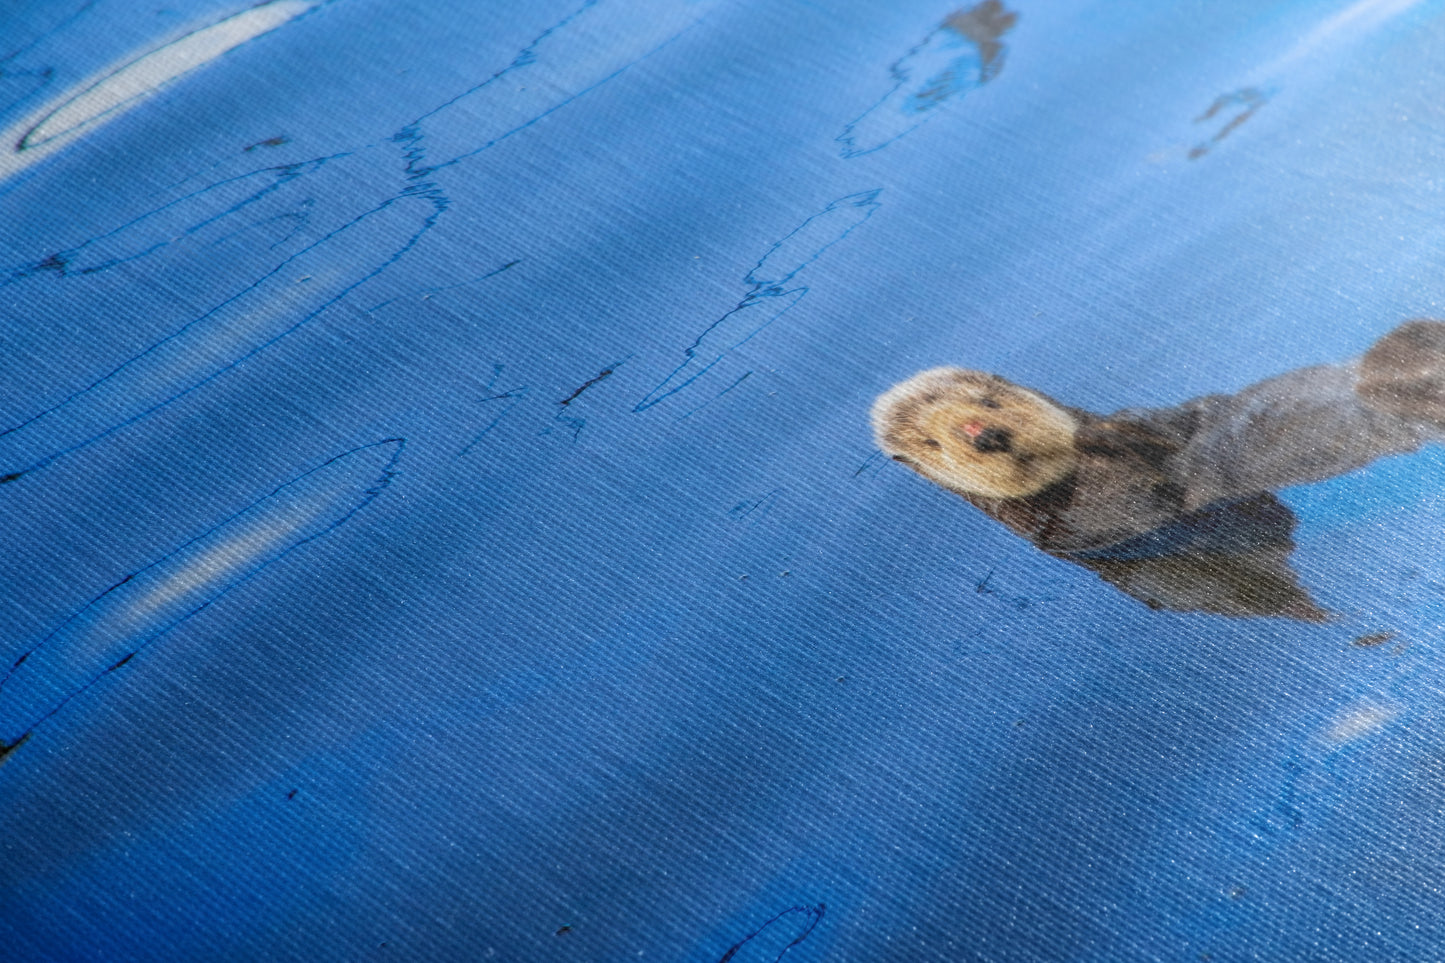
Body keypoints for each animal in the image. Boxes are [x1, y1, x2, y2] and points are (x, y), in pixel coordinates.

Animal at [872, 320, 1445, 620]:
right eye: (933, 442)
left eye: (987, 401)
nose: (985, 436)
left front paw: (1119, 430)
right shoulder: (1080, 535)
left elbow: (1177, 424)